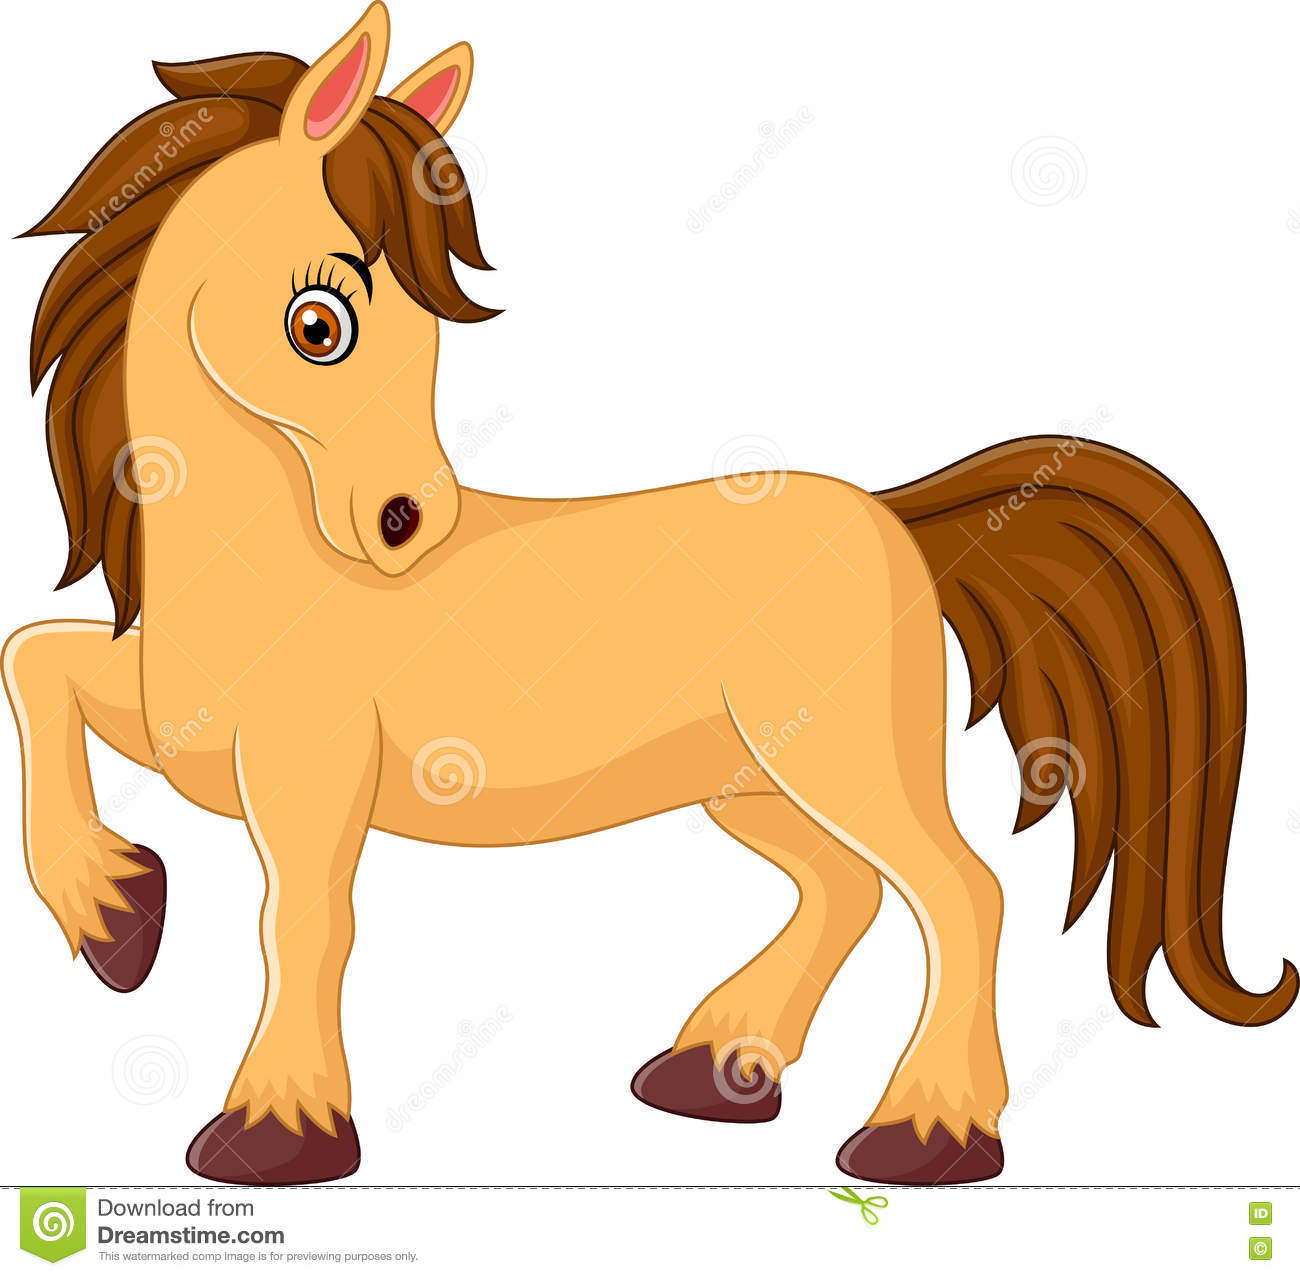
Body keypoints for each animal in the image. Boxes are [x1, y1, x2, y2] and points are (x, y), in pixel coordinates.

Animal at [5, 2, 1294, 1186]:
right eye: (315, 323)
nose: (406, 522)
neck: (260, 572)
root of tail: (895, 516)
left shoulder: (309, 771)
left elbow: (305, 922)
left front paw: (276, 1129)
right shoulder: (174, 725)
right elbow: (33, 659)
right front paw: (117, 916)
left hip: (842, 760)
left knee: (957, 892)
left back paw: (924, 1134)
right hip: (749, 779)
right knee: (844, 889)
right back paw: (718, 1071)